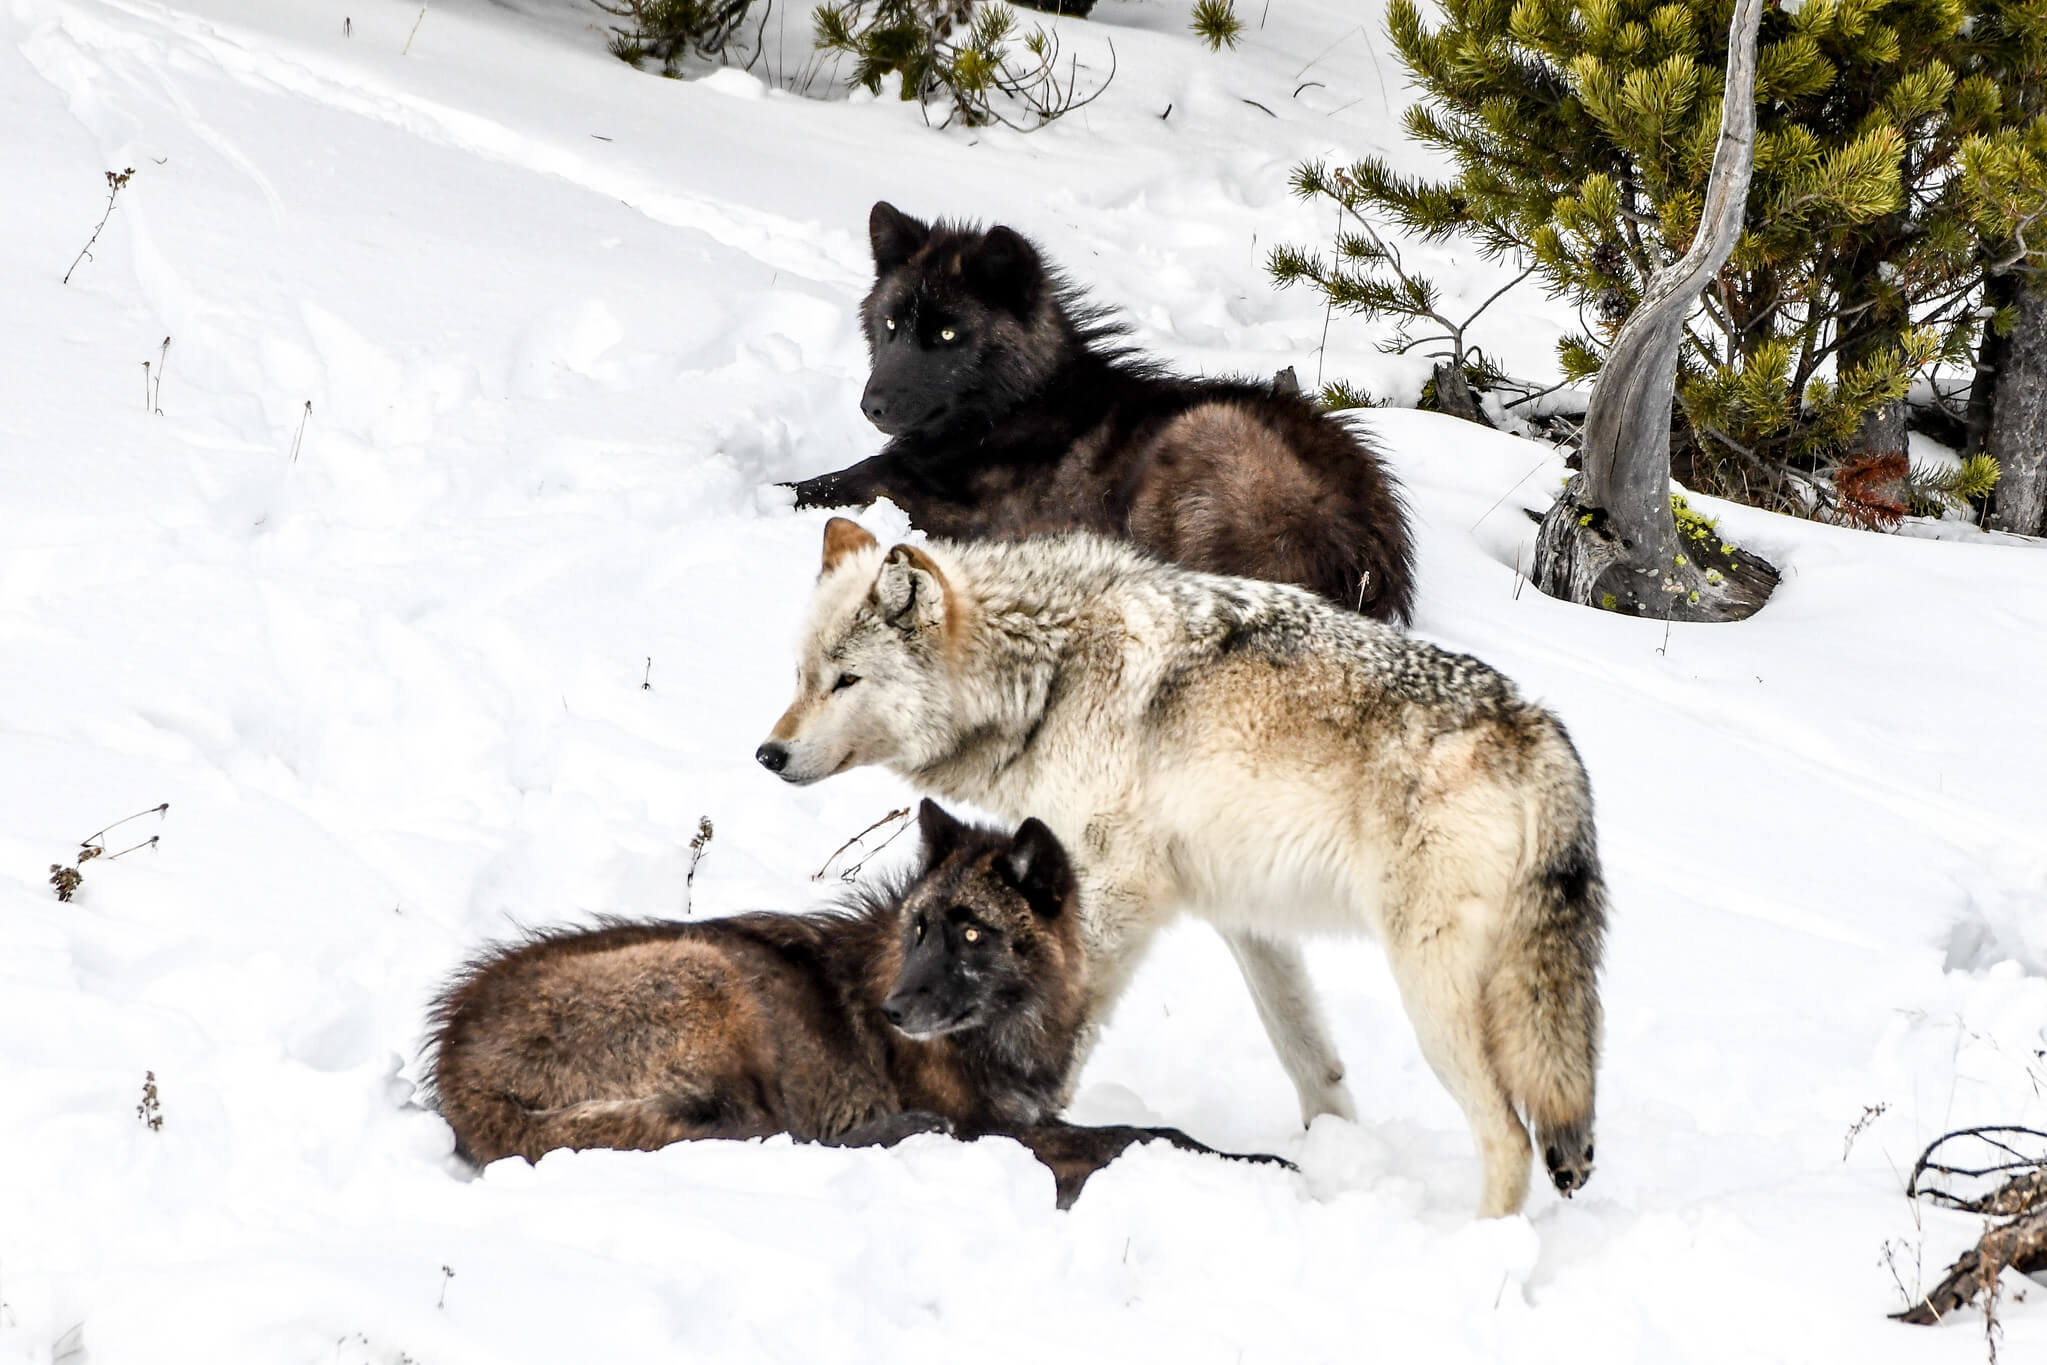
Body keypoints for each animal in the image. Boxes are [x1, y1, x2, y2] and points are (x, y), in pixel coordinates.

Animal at [423, 799, 1285, 1207]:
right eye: (919, 927)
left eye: (972, 932)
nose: (893, 1012)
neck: (1009, 1027)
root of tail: (454, 1061)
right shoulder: (997, 1127)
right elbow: (1145, 1133)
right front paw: (1270, 1162)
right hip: (717, 972)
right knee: (780, 1132)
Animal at [757, 519, 1608, 1217]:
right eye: (801, 675)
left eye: (847, 680)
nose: (769, 753)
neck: (1049, 679)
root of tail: (1536, 727)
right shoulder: (1244, 919)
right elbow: (1314, 1063)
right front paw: (1325, 1161)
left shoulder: (1111, 896)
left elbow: (1064, 1039)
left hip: (1433, 994)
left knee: (1509, 1138)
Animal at [785, 201, 1417, 624]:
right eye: (892, 324)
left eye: (946, 334)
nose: (873, 405)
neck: (1017, 404)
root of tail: (1368, 558)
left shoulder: (970, 515)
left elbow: (844, 480)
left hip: (1200, 431)